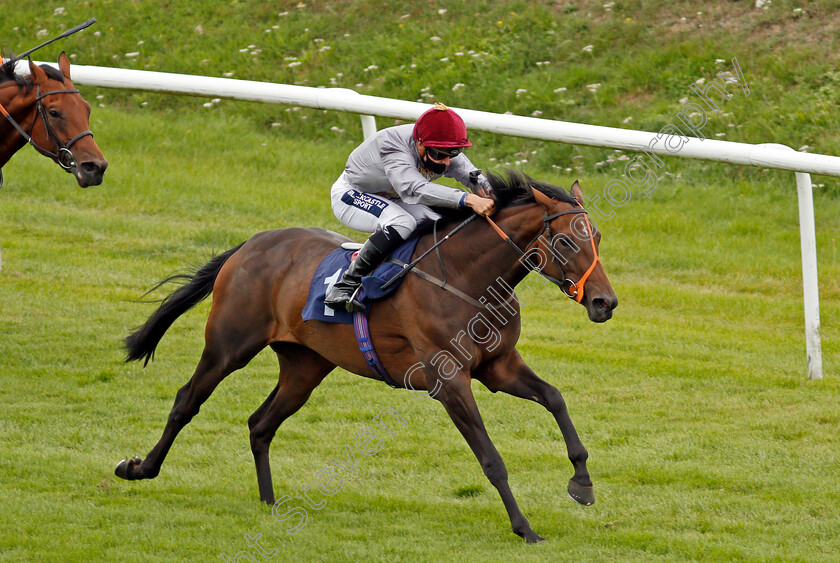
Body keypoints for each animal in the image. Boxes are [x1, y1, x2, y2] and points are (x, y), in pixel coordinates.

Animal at [116, 172, 616, 540]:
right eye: (566, 242)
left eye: (596, 235)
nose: (605, 302)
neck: (466, 278)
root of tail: (251, 244)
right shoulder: (449, 380)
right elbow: (491, 458)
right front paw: (524, 528)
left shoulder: (498, 367)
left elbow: (555, 399)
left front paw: (582, 484)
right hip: (228, 346)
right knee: (187, 401)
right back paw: (139, 468)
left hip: (305, 364)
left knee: (261, 423)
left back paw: (269, 501)